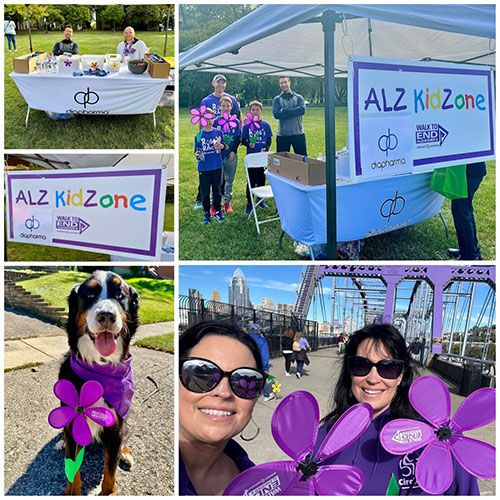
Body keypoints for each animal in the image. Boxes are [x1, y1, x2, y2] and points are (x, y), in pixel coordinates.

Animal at [57, 272, 140, 494]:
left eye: (120, 294)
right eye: (90, 294)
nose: (106, 316)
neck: (99, 365)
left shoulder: (116, 427)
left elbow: (110, 470)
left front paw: (109, 493)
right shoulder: (73, 426)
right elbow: (73, 469)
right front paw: (71, 492)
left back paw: (125, 453)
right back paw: (60, 442)